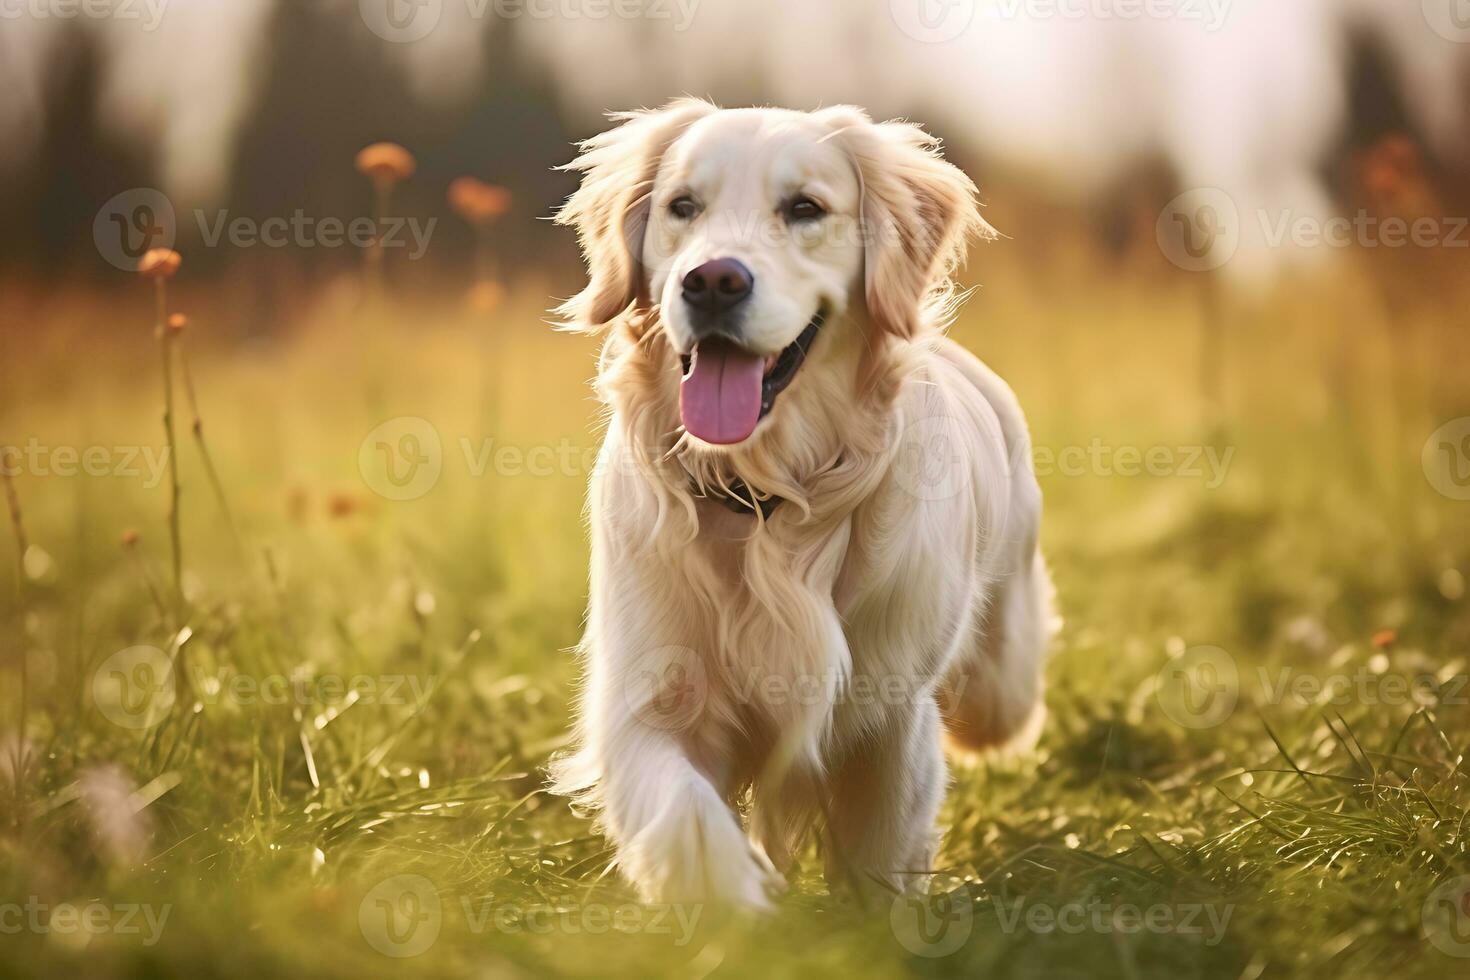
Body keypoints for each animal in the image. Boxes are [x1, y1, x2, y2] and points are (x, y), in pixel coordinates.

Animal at [552, 101, 1058, 910]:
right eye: (682, 206)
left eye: (805, 209)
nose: (713, 282)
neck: (766, 497)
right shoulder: (649, 693)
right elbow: (683, 814)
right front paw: (733, 902)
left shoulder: (890, 716)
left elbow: (883, 850)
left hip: (999, 666)